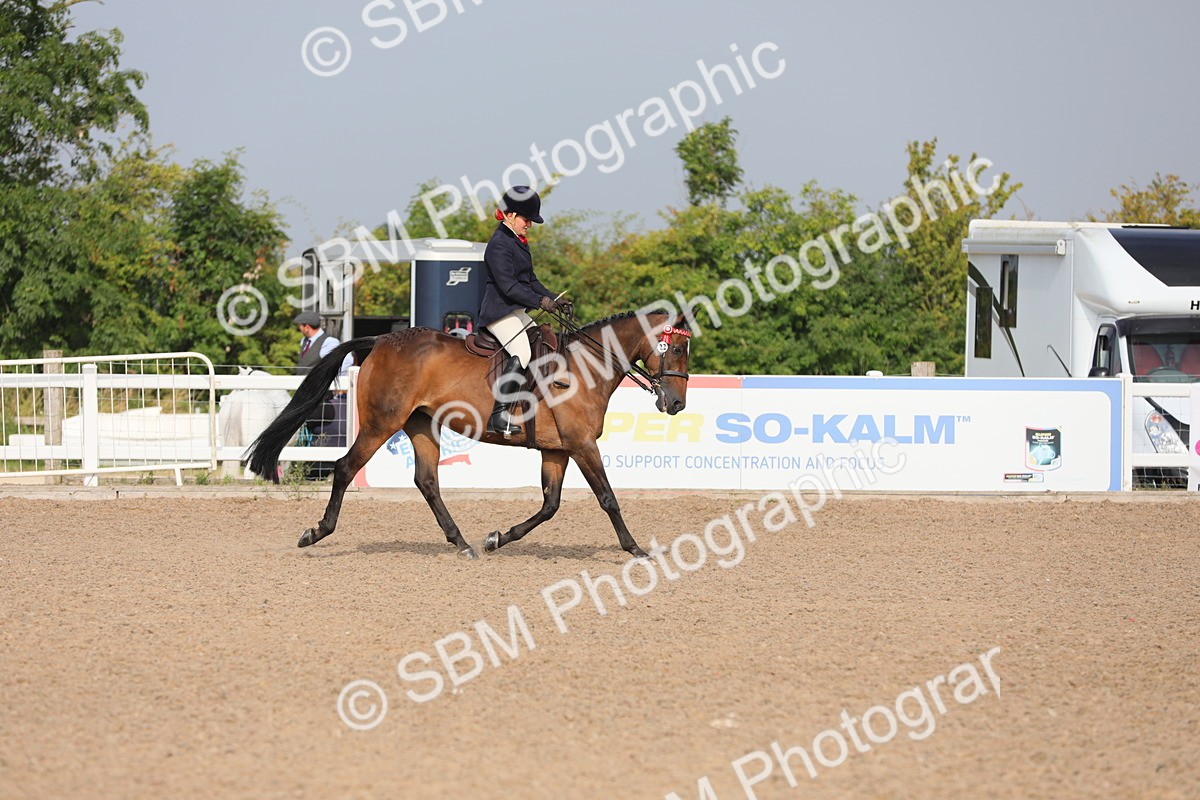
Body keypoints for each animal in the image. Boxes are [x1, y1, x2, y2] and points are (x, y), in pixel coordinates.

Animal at [245, 310, 692, 559]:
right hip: (380, 424)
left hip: (421, 425)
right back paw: (315, 533)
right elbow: (608, 499)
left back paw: (462, 543)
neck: (586, 367)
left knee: (427, 481)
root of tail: (382, 339)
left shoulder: (558, 451)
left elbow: (549, 506)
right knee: (344, 468)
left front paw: (497, 538)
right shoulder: (582, 446)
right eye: (676, 349)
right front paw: (636, 549)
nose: (676, 404)